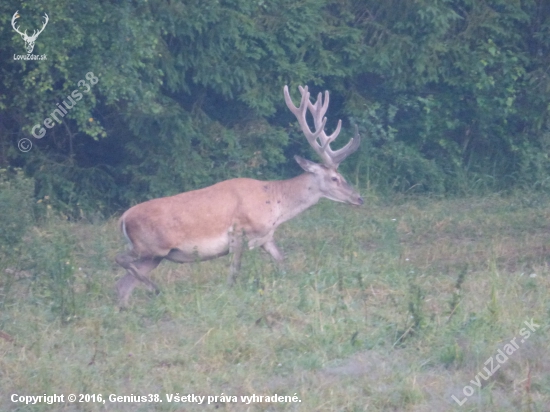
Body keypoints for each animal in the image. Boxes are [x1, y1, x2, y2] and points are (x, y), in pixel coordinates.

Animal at [116, 85, 364, 308]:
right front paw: (226, 294)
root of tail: (123, 219)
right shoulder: (238, 231)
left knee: (122, 286)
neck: (276, 203)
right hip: (151, 247)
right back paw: (155, 289)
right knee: (119, 261)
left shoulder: (266, 237)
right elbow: (234, 271)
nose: (359, 198)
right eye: (335, 178)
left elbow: (282, 261)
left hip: (154, 256)